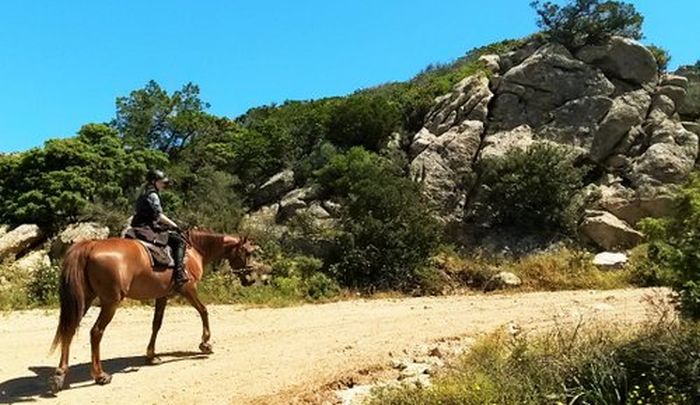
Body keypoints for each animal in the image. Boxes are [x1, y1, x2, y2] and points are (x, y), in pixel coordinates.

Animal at [47, 229, 266, 392]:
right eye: (248, 252)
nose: (250, 279)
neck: (193, 250)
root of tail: (91, 245)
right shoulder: (188, 289)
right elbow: (204, 311)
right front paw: (205, 343)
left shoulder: (162, 296)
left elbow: (156, 324)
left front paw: (151, 355)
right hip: (110, 303)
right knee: (96, 333)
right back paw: (100, 375)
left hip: (84, 300)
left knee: (69, 329)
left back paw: (59, 375)